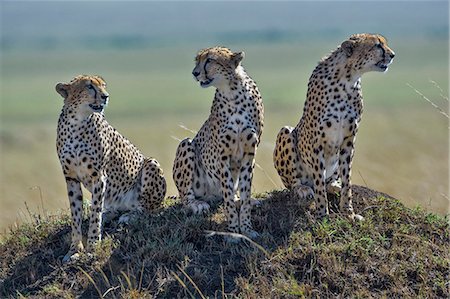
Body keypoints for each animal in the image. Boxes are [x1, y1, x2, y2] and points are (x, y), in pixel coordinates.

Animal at [55, 75, 166, 262]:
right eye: (89, 86)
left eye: (104, 85)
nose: (106, 96)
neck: (77, 121)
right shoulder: (71, 177)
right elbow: (76, 214)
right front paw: (74, 249)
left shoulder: (98, 176)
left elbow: (95, 212)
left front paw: (93, 245)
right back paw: (110, 214)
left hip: (151, 163)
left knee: (148, 208)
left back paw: (130, 215)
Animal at [172, 47, 264, 239]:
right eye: (197, 60)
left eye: (209, 60)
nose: (195, 73)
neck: (232, 93)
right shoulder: (223, 156)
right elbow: (227, 194)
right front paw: (233, 231)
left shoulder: (249, 154)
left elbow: (244, 191)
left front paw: (246, 228)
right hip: (187, 144)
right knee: (186, 197)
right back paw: (197, 204)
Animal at [274, 33, 394, 220]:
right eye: (377, 45)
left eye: (384, 43)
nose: (392, 55)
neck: (347, 79)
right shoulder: (316, 142)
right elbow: (318, 181)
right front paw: (322, 213)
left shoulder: (349, 139)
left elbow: (347, 178)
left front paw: (349, 212)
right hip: (285, 132)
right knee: (295, 182)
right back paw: (303, 188)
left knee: (329, 180)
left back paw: (333, 184)